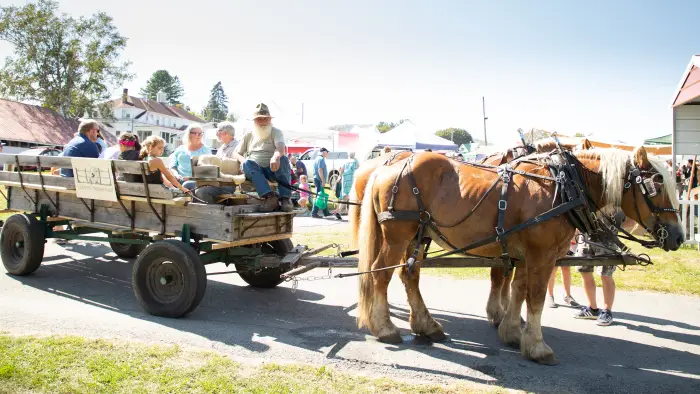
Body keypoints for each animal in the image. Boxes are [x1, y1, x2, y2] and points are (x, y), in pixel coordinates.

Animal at [356, 146, 680, 364]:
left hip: (418, 236)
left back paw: (427, 325)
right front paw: (537, 346)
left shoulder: (526, 254)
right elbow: (535, 298)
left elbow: (518, 289)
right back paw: (385, 328)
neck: (564, 186)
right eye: (655, 184)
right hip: (398, 235)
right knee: (379, 274)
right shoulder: (543, 254)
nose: (678, 236)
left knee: (409, 275)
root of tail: (388, 165)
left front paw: (512, 332)